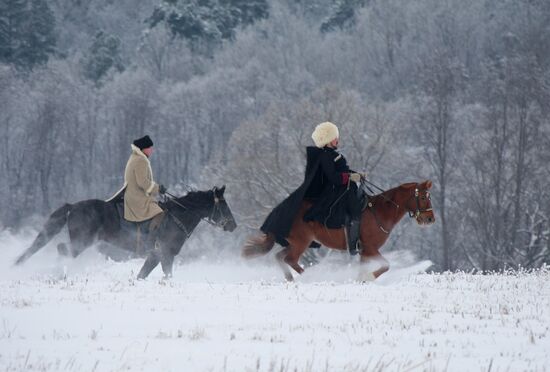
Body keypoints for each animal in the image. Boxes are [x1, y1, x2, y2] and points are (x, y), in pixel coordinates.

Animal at [14, 187, 237, 278]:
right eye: (223, 205)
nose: (233, 225)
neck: (178, 215)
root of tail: (73, 207)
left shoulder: (155, 255)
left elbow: (143, 274)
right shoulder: (165, 253)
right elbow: (166, 274)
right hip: (81, 242)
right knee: (62, 249)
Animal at [244, 181, 438, 282]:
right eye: (422, 197)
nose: (430, 219)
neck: (380, 211)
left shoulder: (364, 252)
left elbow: (364, 268)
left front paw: (361, 280)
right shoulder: (370, 248)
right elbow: (386, 265)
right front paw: (369, 277)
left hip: (295, 243)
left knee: (280, 257)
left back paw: (291, 278)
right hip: (301, 243)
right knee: (289, 260)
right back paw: (311, 277)